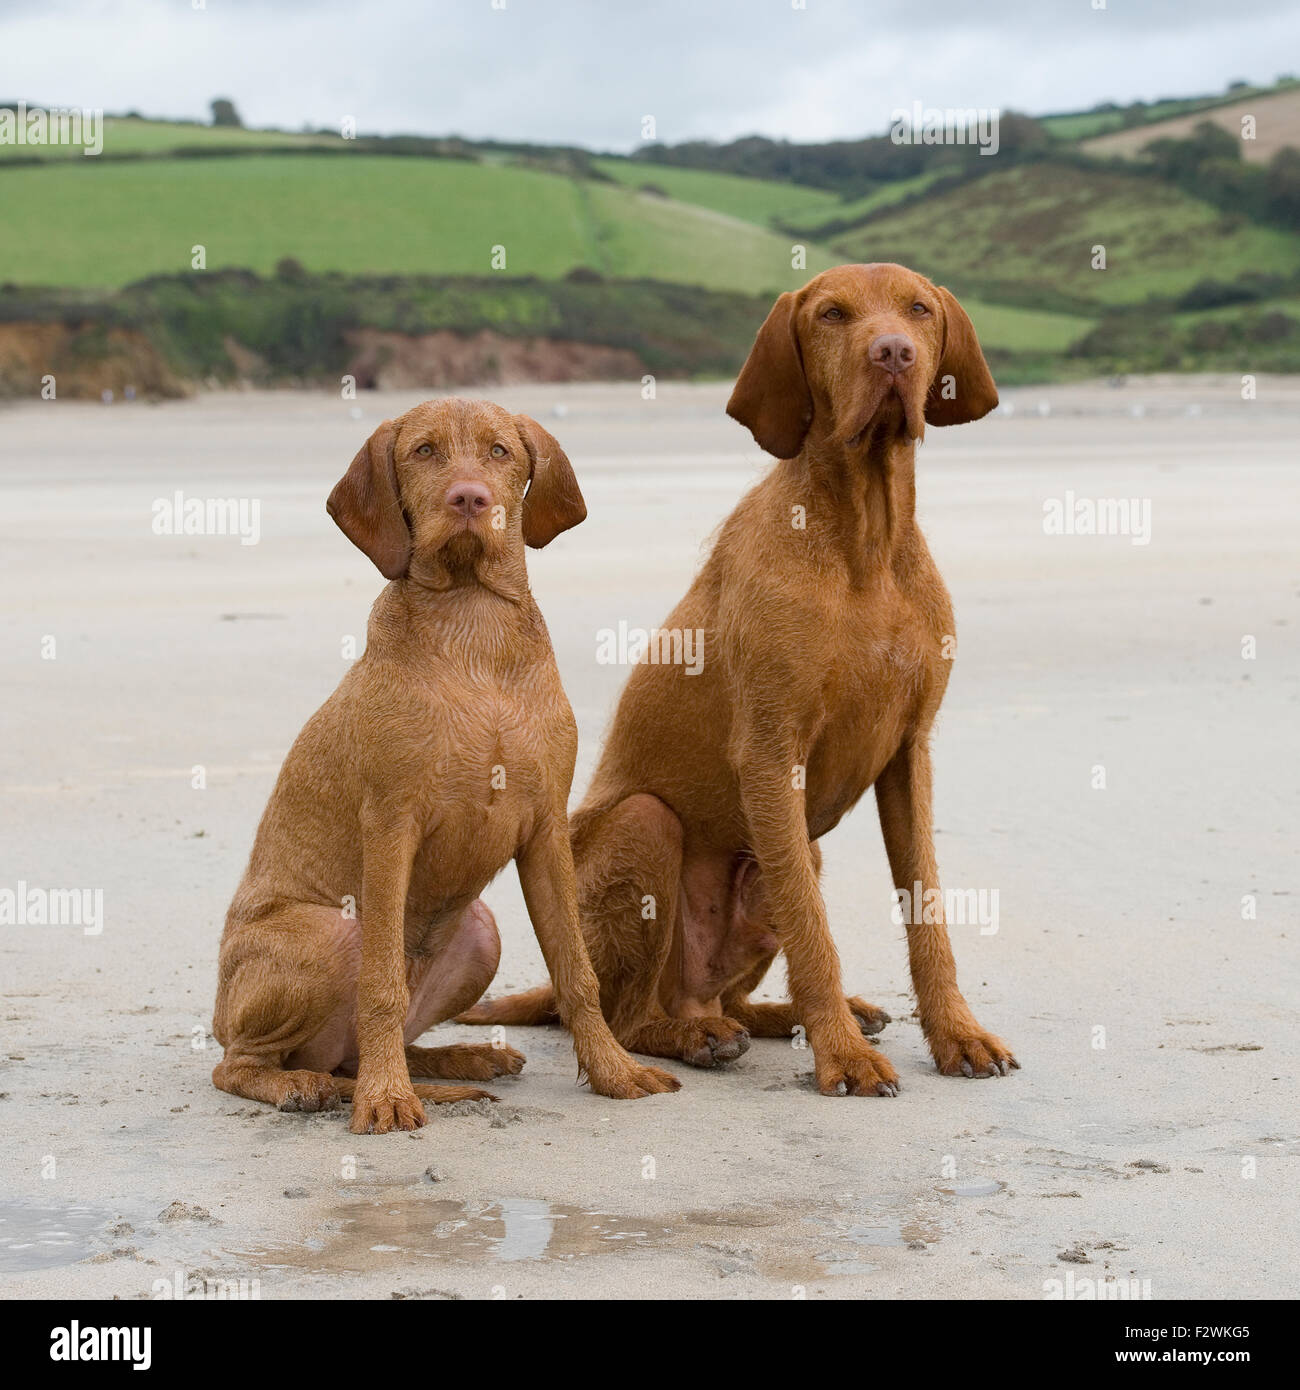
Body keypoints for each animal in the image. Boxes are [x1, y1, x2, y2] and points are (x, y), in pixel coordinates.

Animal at [211, 394, 681, 1128]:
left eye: (499, 451)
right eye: (424, 451)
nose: (469, 498)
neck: (473, 624)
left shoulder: (547, 830)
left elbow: (576, 971)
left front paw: (613, 1070)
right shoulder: (390, 826)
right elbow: (381, 987)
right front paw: (384, 1100)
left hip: (480, 933)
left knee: (356, 1053)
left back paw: (454, 1063)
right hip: (328, 933)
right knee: (239, 1063)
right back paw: (313, 1085)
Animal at [461, 265, 1023, 1095]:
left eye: (919, 308)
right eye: (832, 315)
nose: (892, 353)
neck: (863, 536)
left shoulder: (908, 755)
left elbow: (927, 913)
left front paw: (955, 1033)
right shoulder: (769, 754)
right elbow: (815, 932)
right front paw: (843, 1057)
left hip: (787, 865)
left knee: (725, 994)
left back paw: (781, 1017)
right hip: (642, 832)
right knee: (626, 1015)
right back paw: (699, 1036)